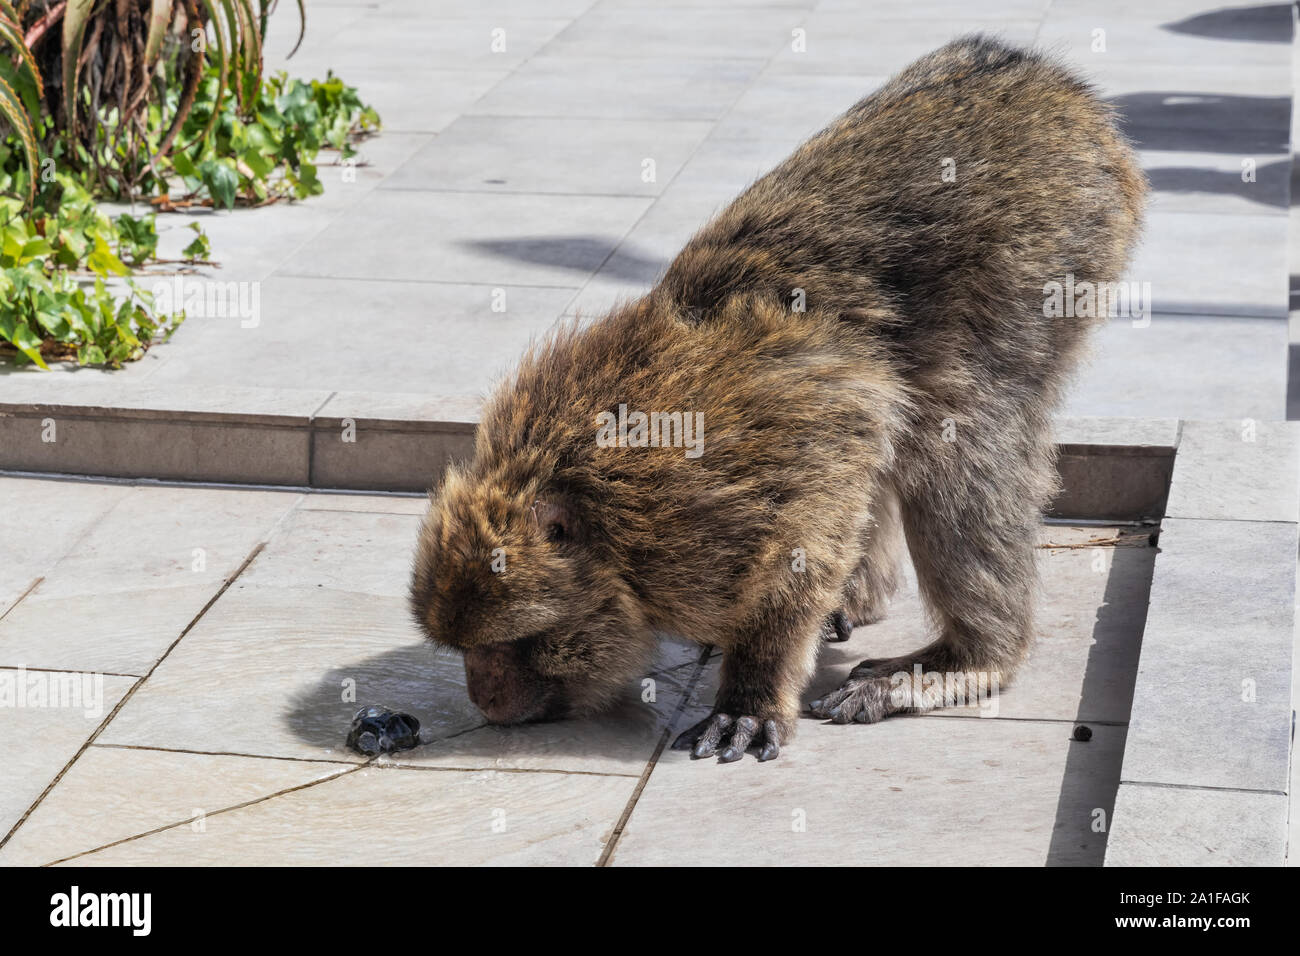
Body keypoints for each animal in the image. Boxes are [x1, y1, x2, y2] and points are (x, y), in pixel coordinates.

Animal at [409, 35, 1146, 762]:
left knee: (958, 439)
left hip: (1054, 244)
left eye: (507, 644)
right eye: (464, 649)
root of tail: (1039, 78)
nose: (486, 703)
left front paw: (753, 690)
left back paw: (970, 659)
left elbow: (802, 545)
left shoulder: (717, 500)